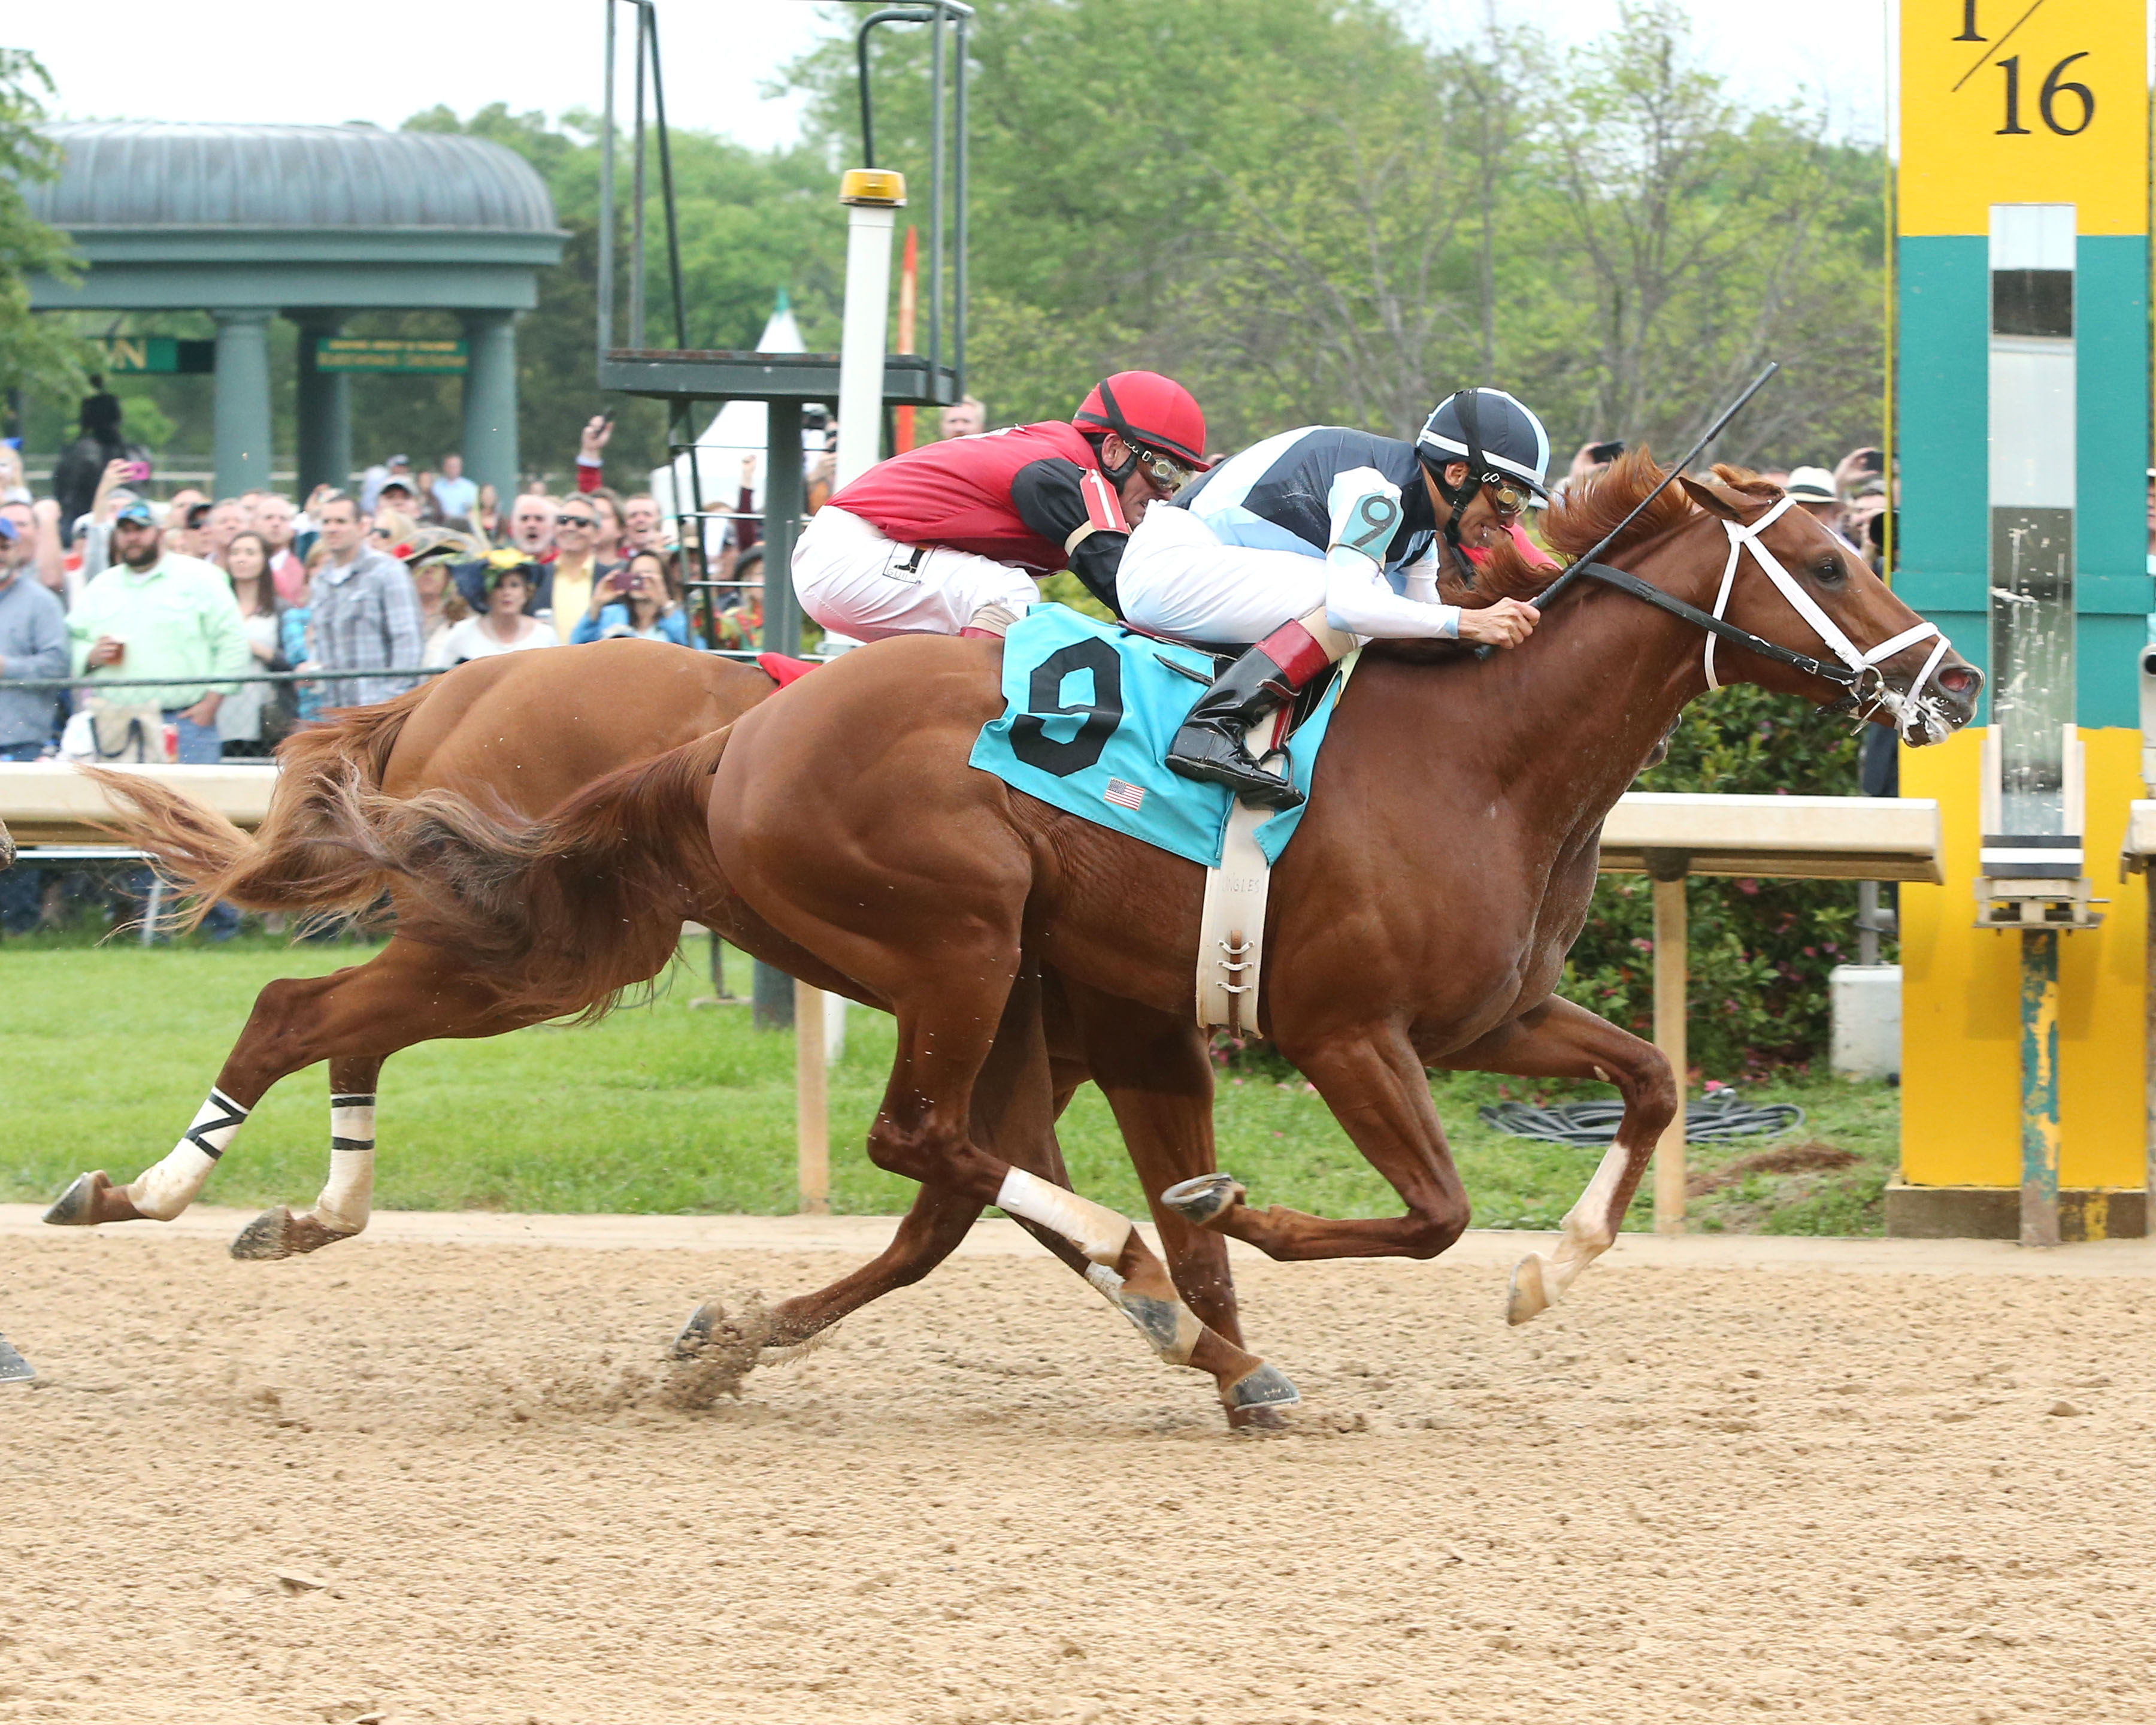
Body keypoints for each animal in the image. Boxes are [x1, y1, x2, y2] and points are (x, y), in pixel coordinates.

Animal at [308, 457, 1984, 1414]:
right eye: (1829, 562)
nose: (1954, 680)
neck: (1487, 756)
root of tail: (735, 741)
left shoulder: (1489, 1017)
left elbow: (1646, 1081)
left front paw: (1546, 1273)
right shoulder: (1344, 1031)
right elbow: (1430, 1209)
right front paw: (1232, 1216)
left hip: (988, 981)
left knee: (939, 1186)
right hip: (957, 944)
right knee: (922, 1144)